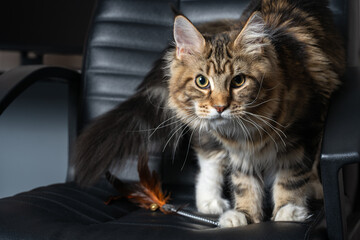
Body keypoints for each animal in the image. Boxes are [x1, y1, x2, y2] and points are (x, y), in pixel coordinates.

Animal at [74, 0, 344, 227]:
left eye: (238, 81)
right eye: (202, 82)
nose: (220, 107)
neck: (251, 129)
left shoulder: (304, 132)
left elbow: (291, 176)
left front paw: (288, 211)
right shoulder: (239, 151)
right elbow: (244, 184)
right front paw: (245, 215)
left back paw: (314, 188)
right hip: (203, 128)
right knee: (209, 159)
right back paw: (210, 202)